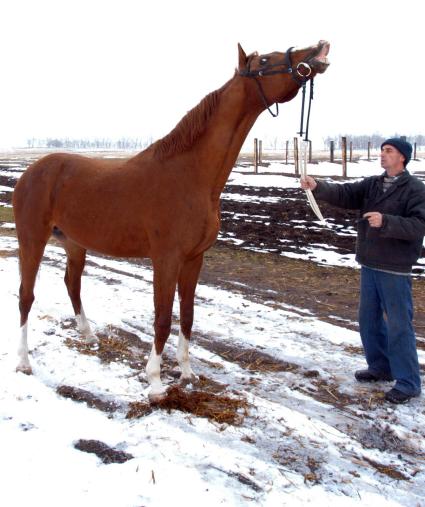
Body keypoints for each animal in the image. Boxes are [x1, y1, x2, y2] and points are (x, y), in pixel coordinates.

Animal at [12, 40, 328, 400]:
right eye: (265, 60)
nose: (318, 49)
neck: (190, 175)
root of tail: (30, 173)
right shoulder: (166, 258)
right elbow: (163, 317)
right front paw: (155, 382)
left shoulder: (194, 259)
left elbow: (187, 315)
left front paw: (187, 373)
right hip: (32, 239)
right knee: (26, 295)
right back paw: (23, 361)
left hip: (75, 244)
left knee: (72, 284)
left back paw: (88, 335)